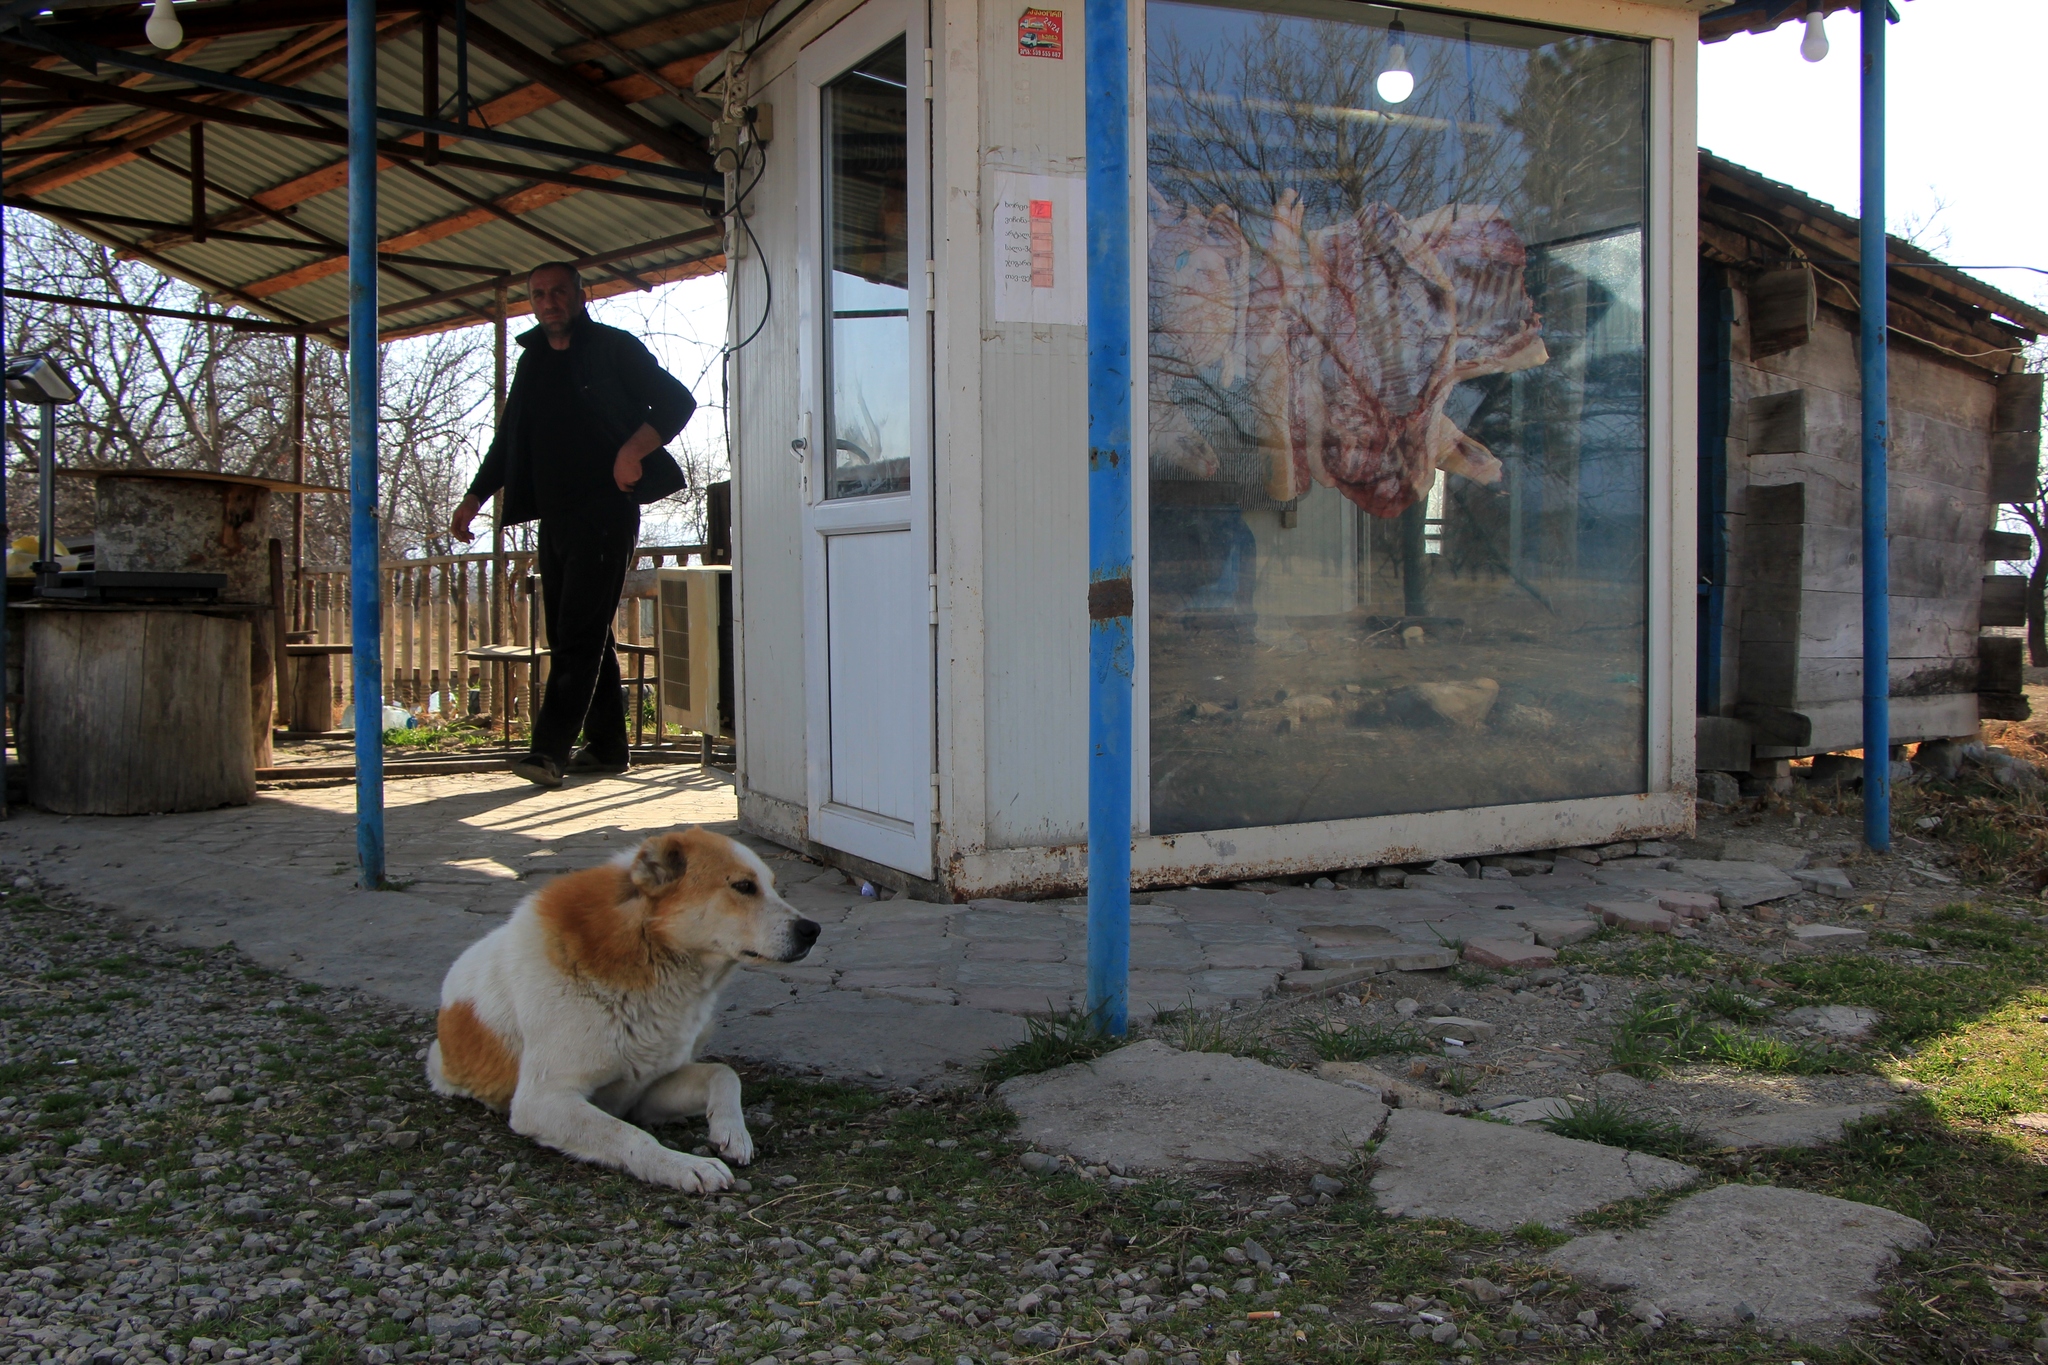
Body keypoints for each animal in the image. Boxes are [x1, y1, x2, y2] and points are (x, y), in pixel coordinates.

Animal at [428, 826, 819, 1186]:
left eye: (772, 885)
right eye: (743, 886)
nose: (812, 930)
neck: (641, 952)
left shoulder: (643, 1090)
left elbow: (724, 1073)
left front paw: (732, 1133)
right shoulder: (541, 1100)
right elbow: (628, 1134)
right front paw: (682, 1167)